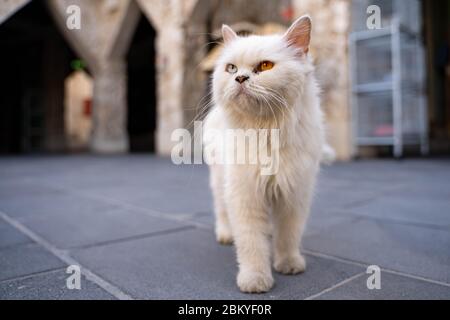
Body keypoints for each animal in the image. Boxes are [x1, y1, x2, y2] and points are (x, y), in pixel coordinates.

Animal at [203, 16, 324, 294]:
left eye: (265, 66)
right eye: (231, 68)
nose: (240, 78)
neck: (267, 131)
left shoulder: (294, 194)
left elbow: (288, 236)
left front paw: (289, 264)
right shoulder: (245, 195)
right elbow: (251, 245)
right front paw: (255, 281)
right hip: (220, 181)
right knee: (221, 211)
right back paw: (225, 235)